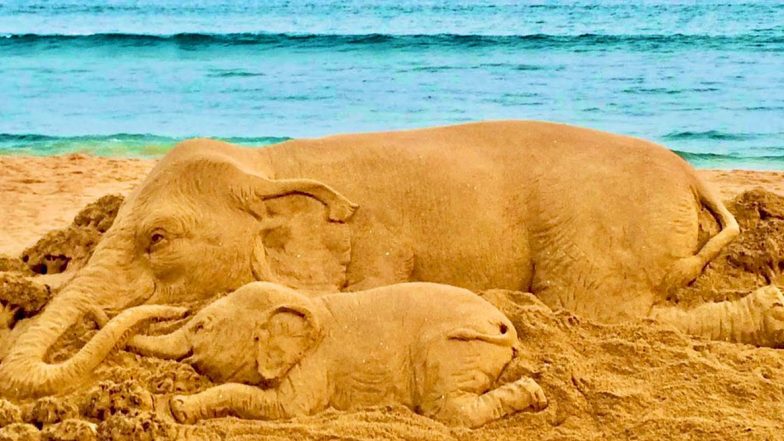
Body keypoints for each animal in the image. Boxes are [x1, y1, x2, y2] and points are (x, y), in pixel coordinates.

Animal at [126, 281, 549, 428]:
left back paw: (536, 396)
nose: (179, 308)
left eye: (202, 326)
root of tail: (503, 323)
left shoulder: (315, 364)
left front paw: (180, 408)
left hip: (456, 350)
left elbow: (288, 409)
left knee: (450, 411)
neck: (303, 302)